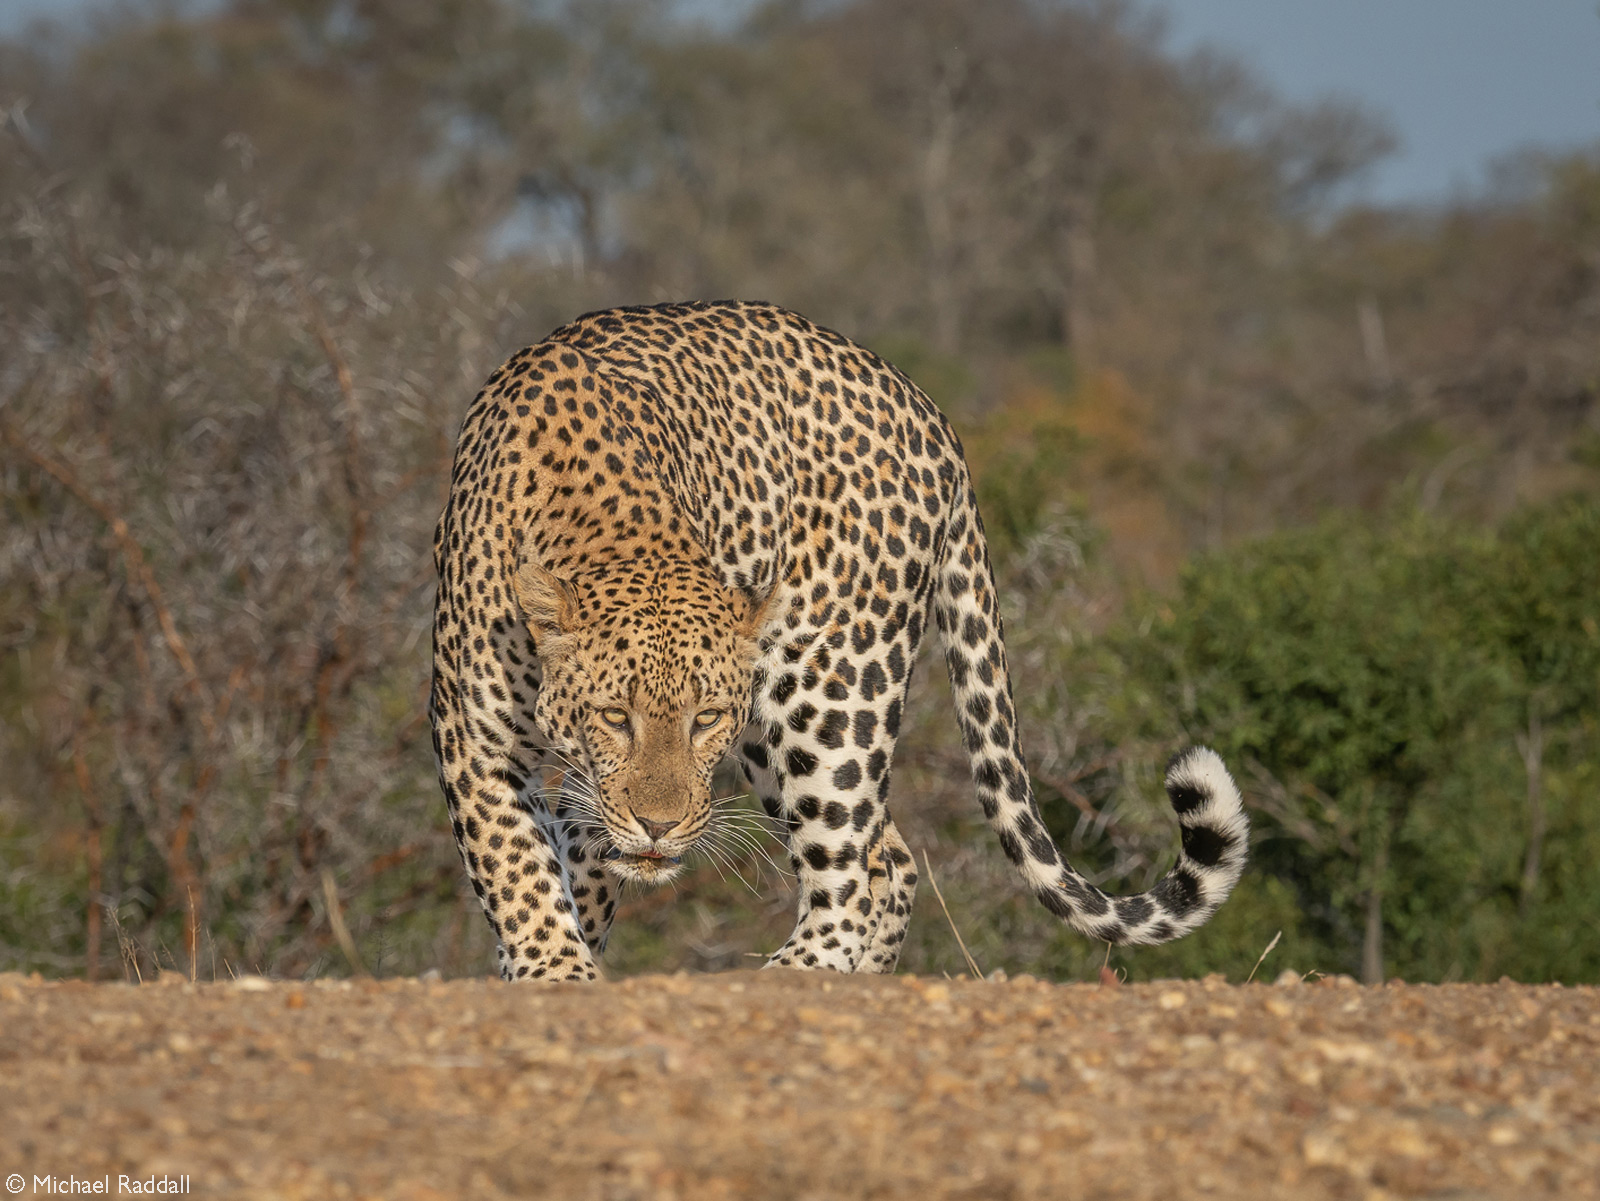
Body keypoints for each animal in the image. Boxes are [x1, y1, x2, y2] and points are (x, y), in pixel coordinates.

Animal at [435, 299, 1248, 978]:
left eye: (703, 719)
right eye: (614, 716)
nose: (660, 828)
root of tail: (929, 410)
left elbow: (535, 870)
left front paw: (556, 974)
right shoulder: (483, 739)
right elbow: (525, 866)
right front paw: (552, 962)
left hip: (829, 689)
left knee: (859, 866)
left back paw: (794, 974)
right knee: (891, 853)